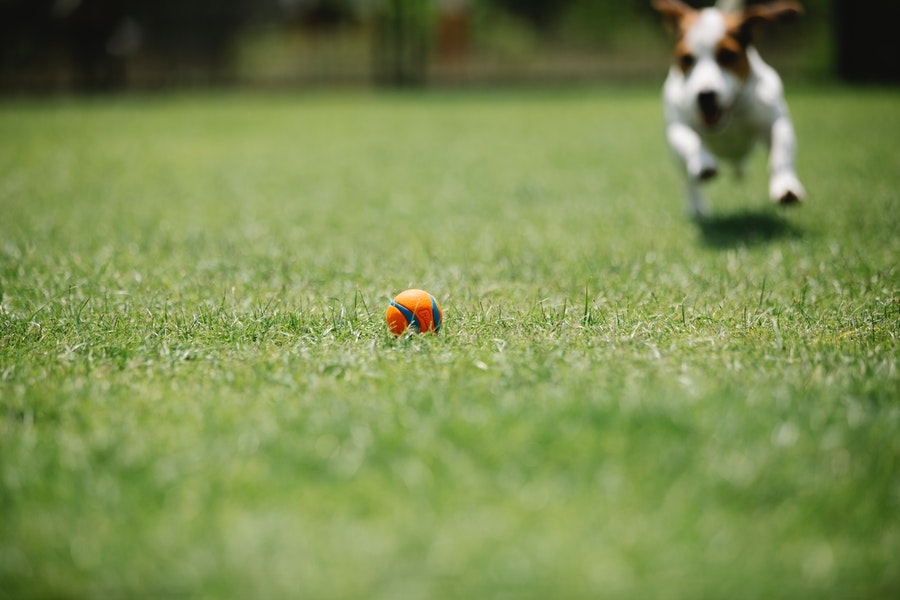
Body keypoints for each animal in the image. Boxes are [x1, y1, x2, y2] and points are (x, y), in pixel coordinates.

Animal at [652, 0, 804, 216]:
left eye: (727, 55)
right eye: (687, 59)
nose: (705, 95)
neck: (729, 115)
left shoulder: (775, 121)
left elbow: (781, 153)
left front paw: (785, 186)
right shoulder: (677, 126)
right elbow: (690, 140)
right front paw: (703, 163)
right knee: (688, 181)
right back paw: (697, 206)